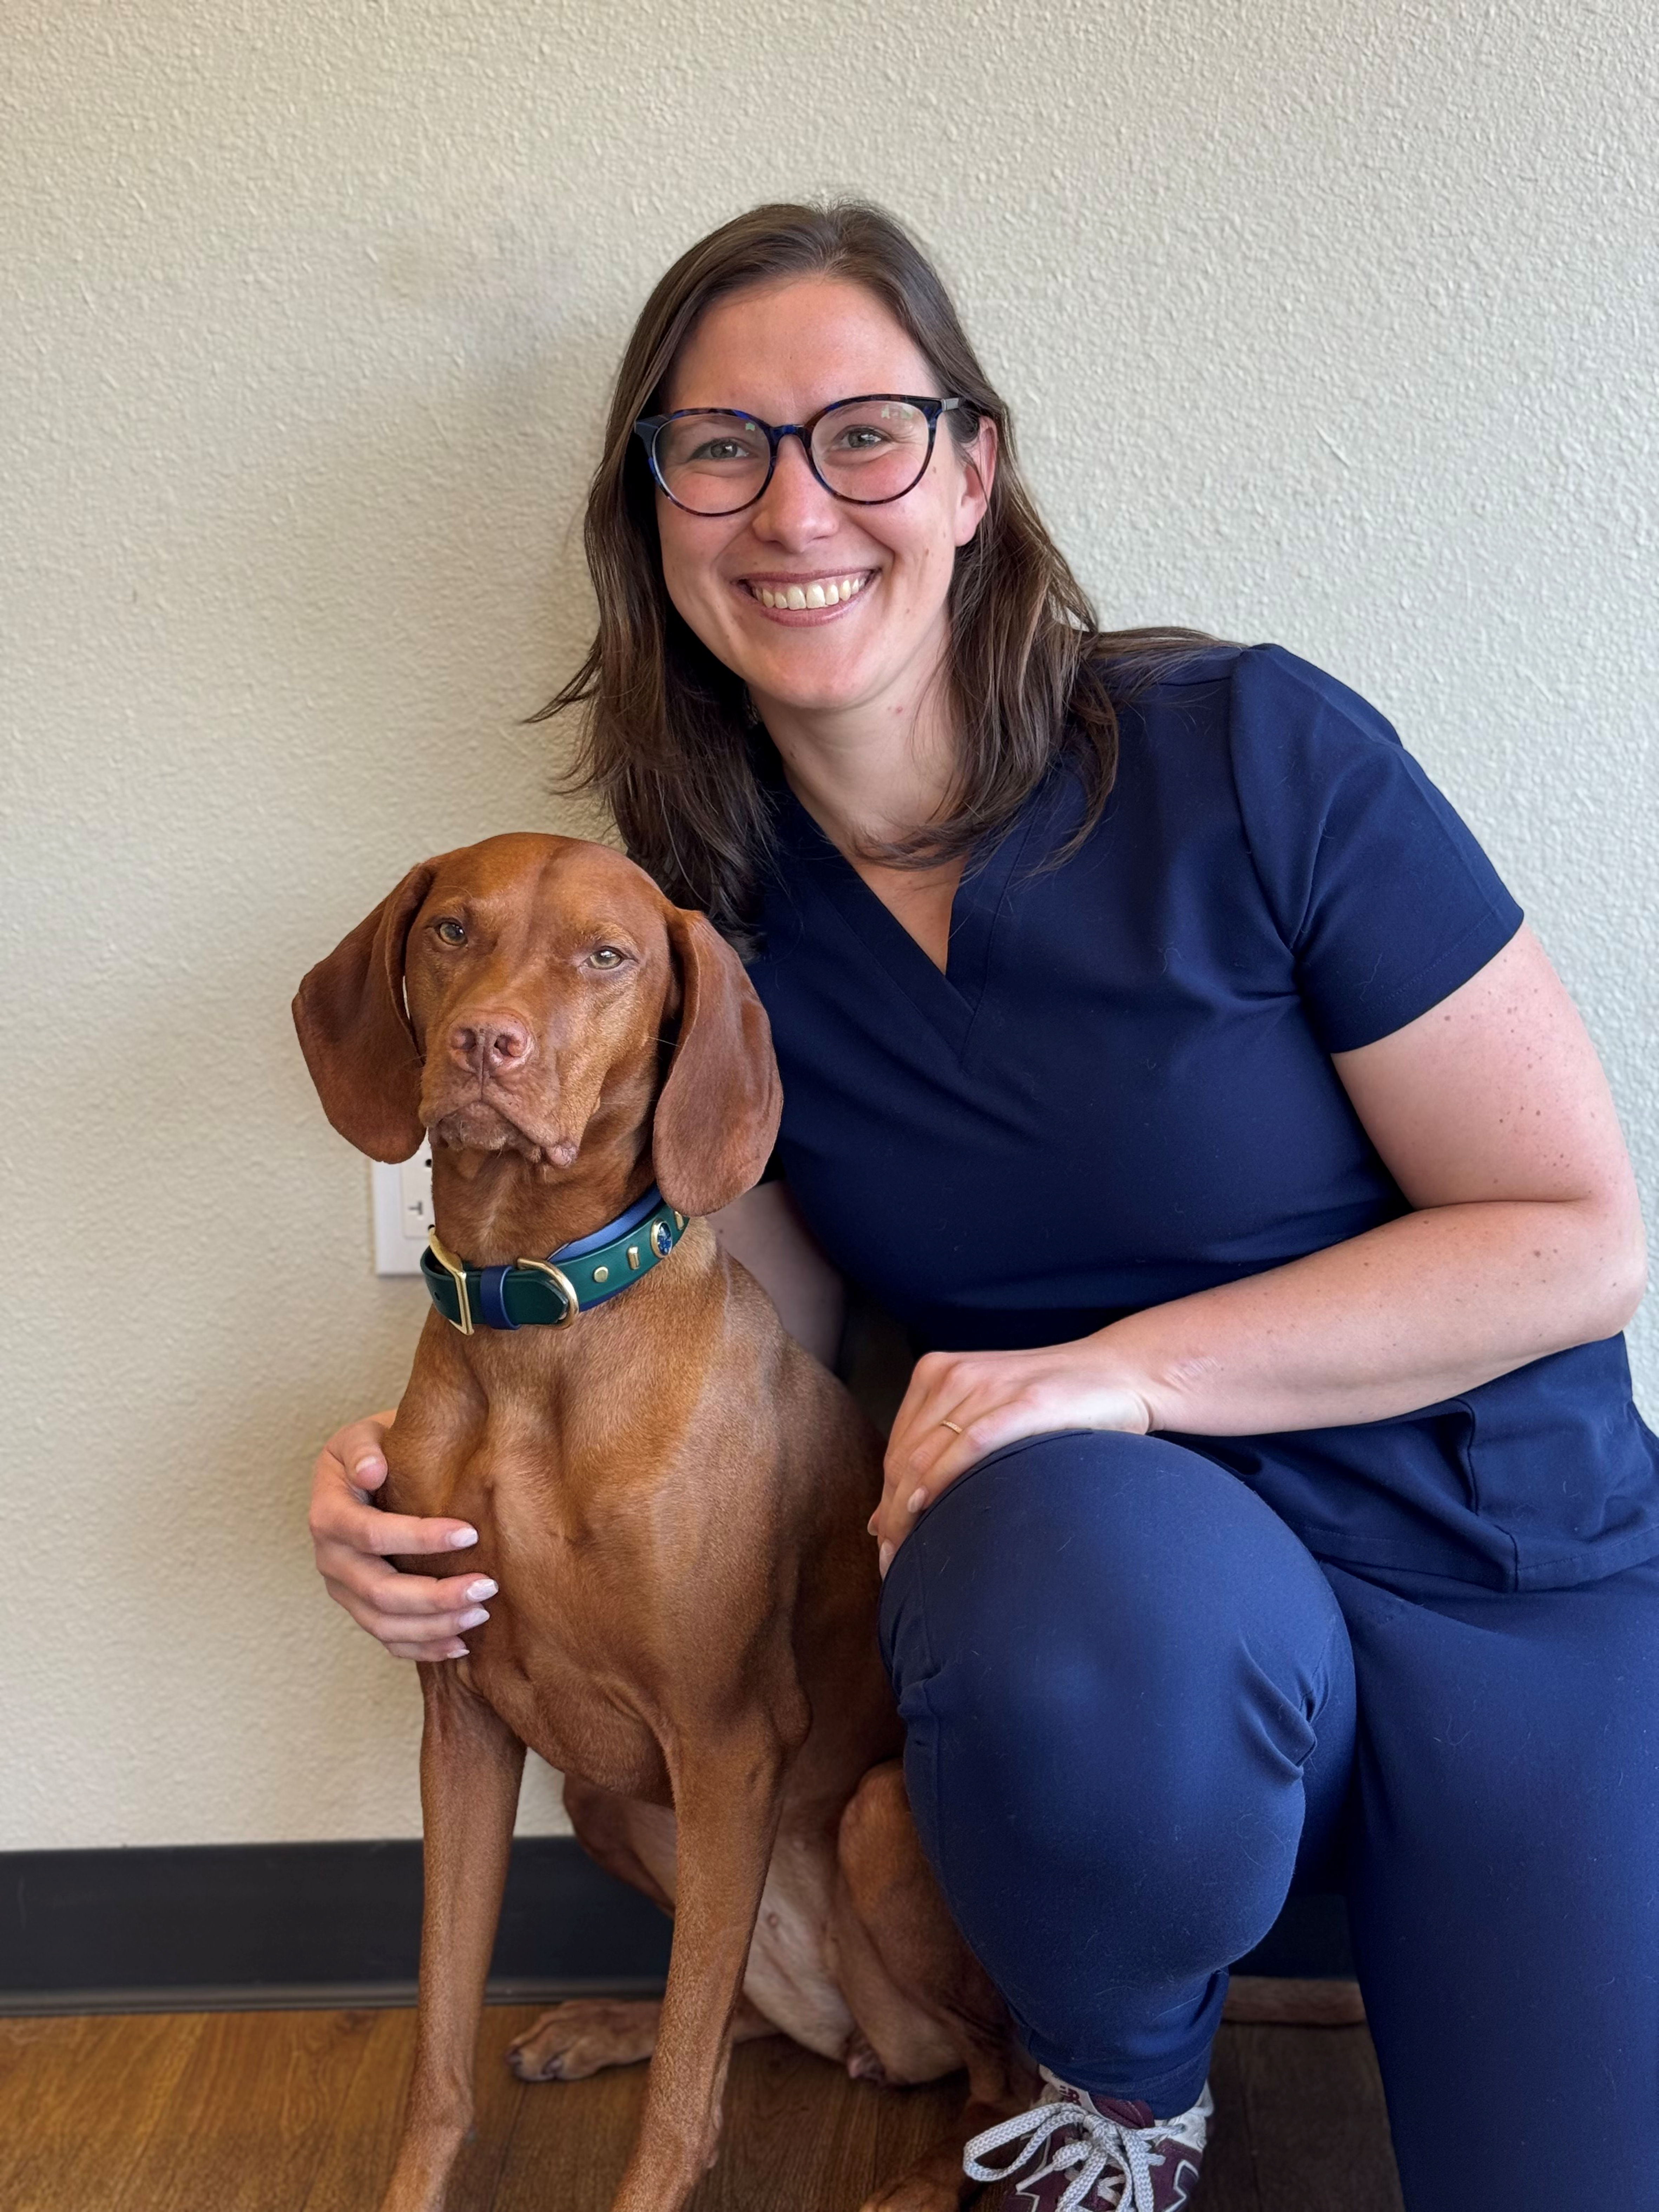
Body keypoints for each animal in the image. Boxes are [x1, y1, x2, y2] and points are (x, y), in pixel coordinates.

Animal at [290, 831, 1035, 2212]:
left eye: (607, 956)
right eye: (453, 931)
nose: (485, 1045)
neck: (538, 1324)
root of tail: (857, 2027)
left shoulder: (727, 1736)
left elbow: (681, 2116)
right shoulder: (461, 1723)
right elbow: (438, 2054)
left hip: (870, 1819)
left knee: (993, 2074)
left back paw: (924, 2180)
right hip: (603, 1800)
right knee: (738, 2014)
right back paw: (607, 2023)